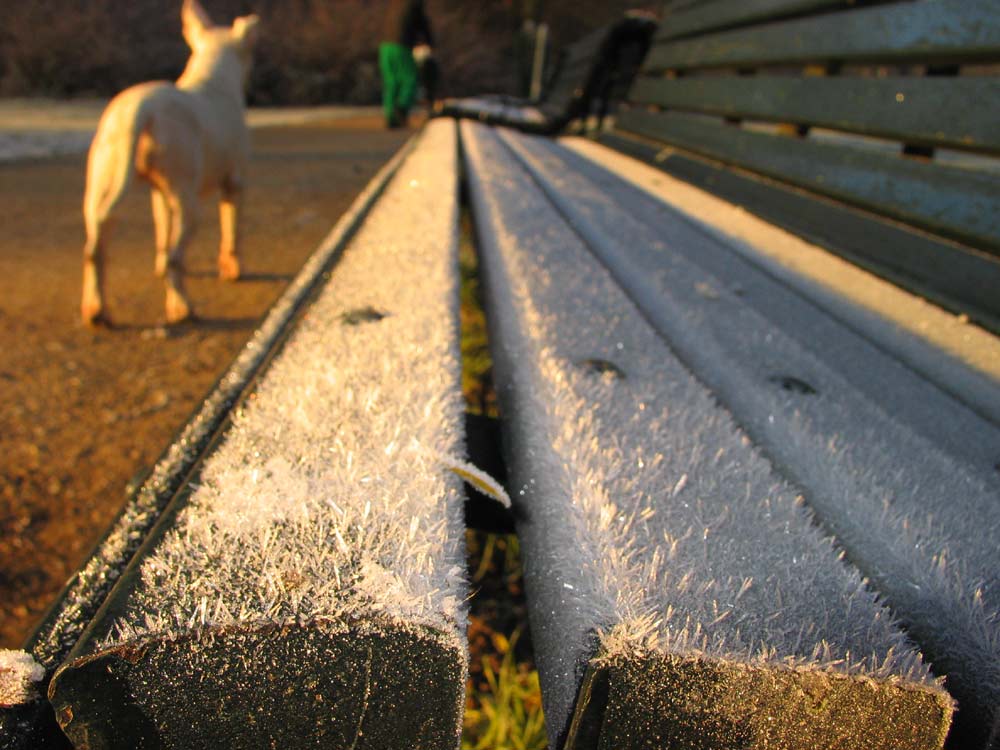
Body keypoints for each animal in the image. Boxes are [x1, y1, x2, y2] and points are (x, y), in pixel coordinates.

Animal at [82, 0, 260, 326]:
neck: (212, 74)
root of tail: (139, 109)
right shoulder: (235, 183)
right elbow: (232, 231)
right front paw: (233, 270)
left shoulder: (160, 194)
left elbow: (162, 233)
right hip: (189, 202)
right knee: (176, 257)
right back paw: (182, 307)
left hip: (102, 184)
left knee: (95, 248)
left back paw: (96, 310)